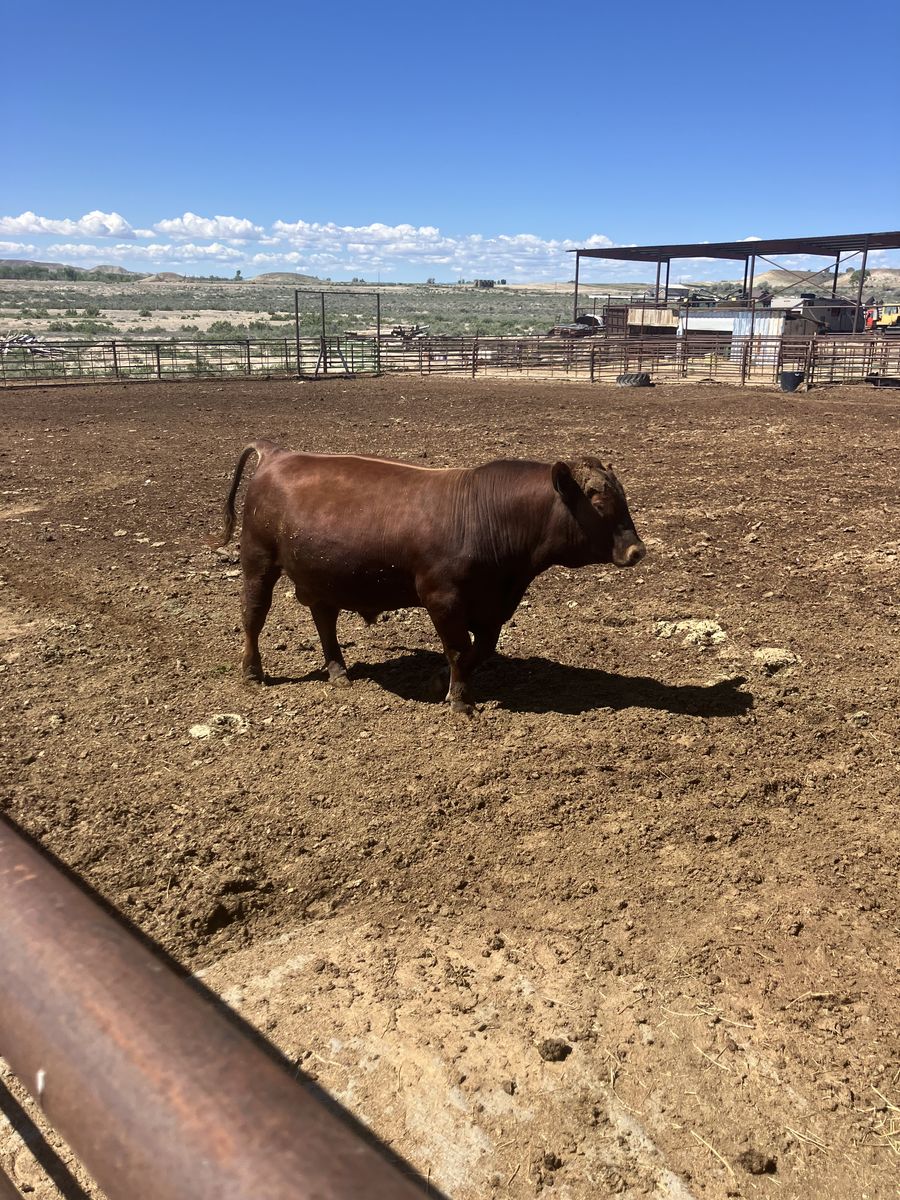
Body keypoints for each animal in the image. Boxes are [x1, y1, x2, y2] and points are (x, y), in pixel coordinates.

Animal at [208, 441, 645, 714]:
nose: (636, 550)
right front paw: (461, 701)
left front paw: (441, 683)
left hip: (321, 576)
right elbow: (458, 648)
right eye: (597, 500)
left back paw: (338, 671)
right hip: (258, 561)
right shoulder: (442, 597)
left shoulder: (493, 606)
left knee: (324, 620)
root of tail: (277, 454)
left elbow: (479, 650)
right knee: (253, 615)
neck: (486, 514)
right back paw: (253, 673)